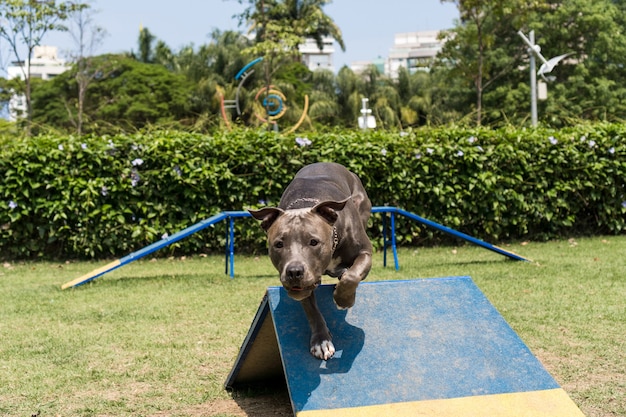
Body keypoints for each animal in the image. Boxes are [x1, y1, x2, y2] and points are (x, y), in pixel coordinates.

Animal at [249, 161, 370, 360]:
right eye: (278, 244)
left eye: (313, 241)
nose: (294, 272)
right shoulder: (305, 285)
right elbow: (311, 309)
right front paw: (321, 341)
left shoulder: (365, 252)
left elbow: (352, 276)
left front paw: (343, 300)